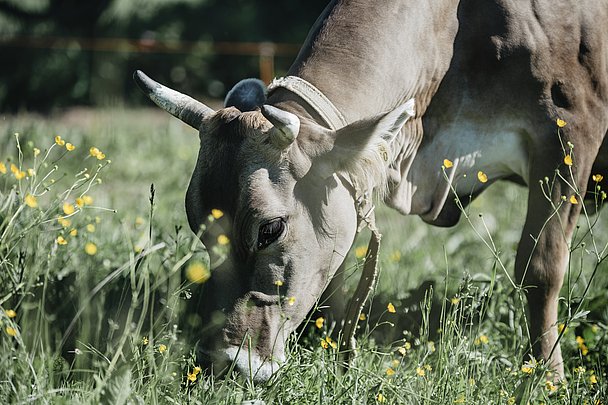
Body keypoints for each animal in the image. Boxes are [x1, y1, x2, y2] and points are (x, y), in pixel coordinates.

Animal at [135, 0, 608, 380]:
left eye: (270, 229)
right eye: (197, 224)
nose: (226, 363)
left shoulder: (569, 132)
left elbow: (540, 267)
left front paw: (546, 374)